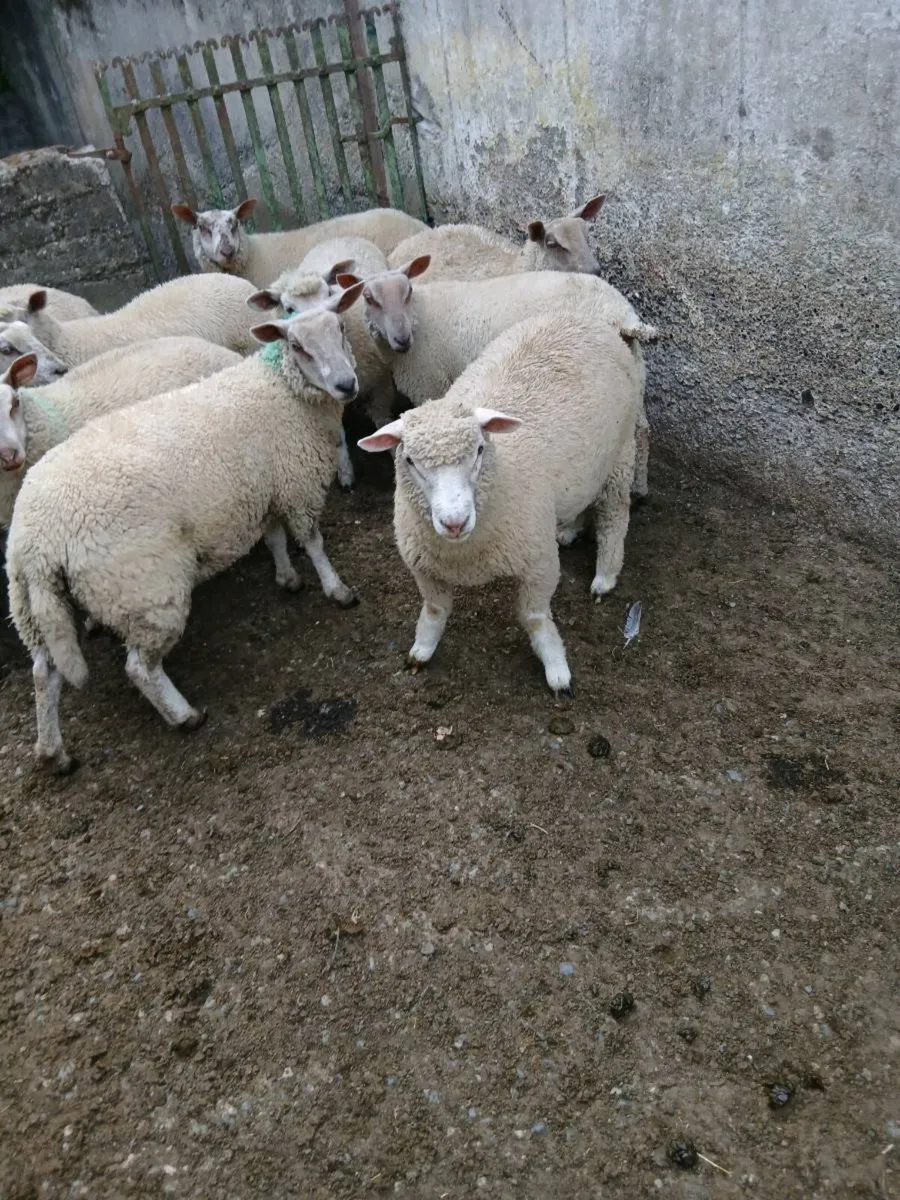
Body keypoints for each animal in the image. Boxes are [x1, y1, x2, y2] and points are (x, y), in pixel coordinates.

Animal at [340, 264, 656, 498]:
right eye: (369, 298)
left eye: (408, 291)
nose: (402, 340)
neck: (421, 315)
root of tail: (620, 313)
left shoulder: (431, 384)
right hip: (634, 372)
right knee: (641, 429)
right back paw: (639, 488)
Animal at [358, 301, 642, 696]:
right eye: (410, 460)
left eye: (479, 450)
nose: (455, 522)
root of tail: (591, 320)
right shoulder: (424, 567)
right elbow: (434, 612)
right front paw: (421, 650)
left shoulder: (538, 563)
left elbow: (535, 618)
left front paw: (556, 668)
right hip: (587, 466)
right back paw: (570, 528)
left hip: (621, 451)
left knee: (615, 515)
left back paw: (605, 575)